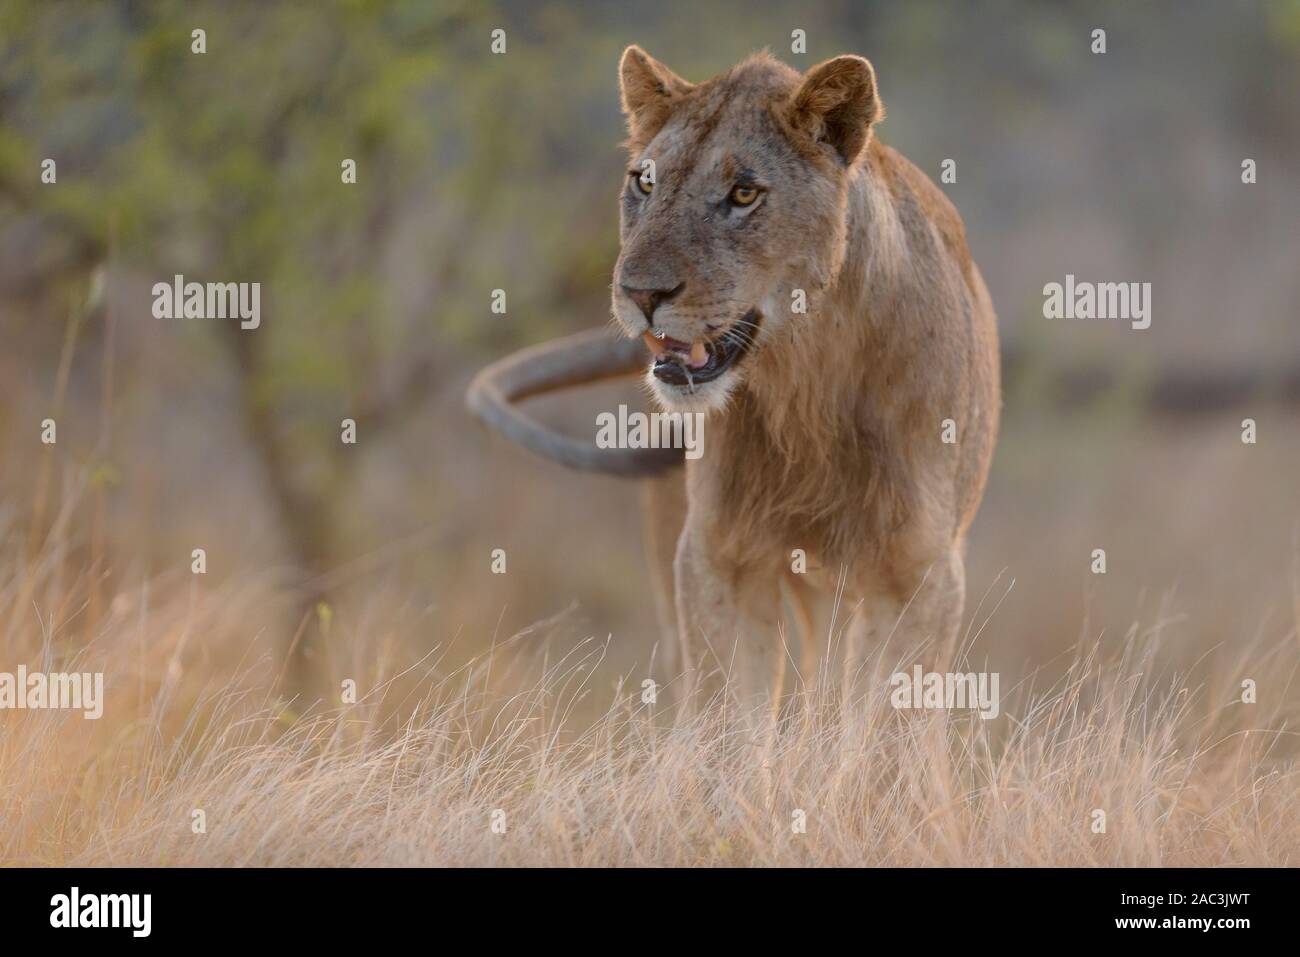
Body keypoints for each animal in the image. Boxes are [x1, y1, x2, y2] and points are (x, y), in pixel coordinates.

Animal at [473, 48, 998, 707]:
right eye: (645, 182)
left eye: (744, 193)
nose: (639, 293)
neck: (808, 385)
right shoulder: (716, 560)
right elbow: (729, 715)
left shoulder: (920, 578)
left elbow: (884, 724)